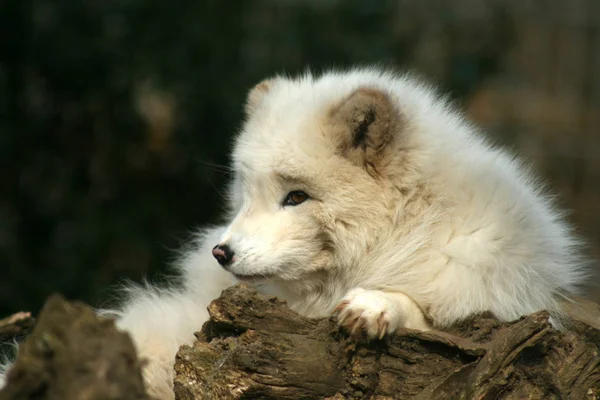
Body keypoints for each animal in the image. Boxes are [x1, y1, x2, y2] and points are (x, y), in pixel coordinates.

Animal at [0, 67, 592, 398]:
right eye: (248, 191)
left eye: (296, 197)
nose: (221, 252)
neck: (408, 228)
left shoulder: (503, 293)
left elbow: (438, 314)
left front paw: (376, 306)